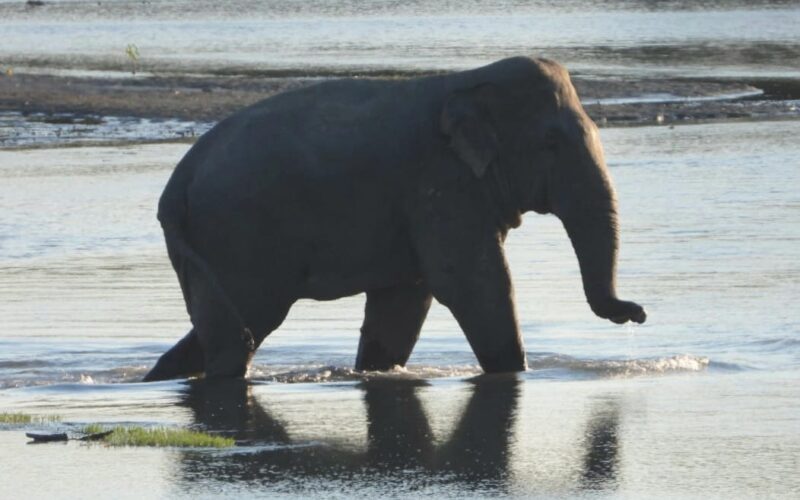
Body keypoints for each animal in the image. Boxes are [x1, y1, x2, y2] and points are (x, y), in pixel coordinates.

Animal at [142, 56, 644, 380]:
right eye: (551, 144)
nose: (636, 314)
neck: (470, 82)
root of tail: (176, 182)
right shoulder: (440, 183)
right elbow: (473, 284)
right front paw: (514, 375)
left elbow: (406, 299)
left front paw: (377, 371)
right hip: (236, 234)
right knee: (245, 326)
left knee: (222, 329)